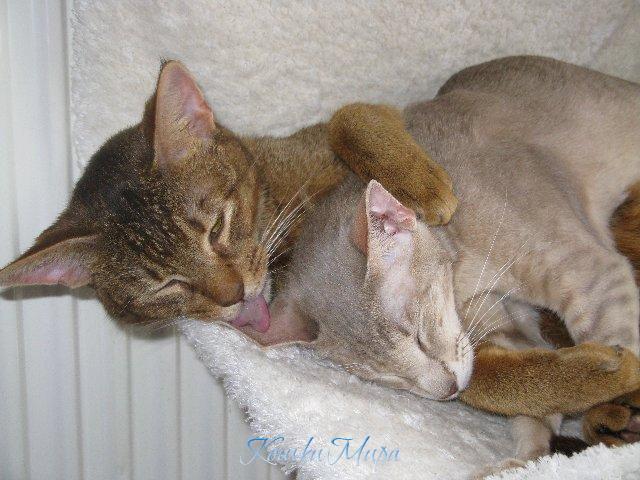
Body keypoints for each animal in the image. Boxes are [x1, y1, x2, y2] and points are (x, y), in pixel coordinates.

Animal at [238, 56, 640, 466]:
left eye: (417, 337)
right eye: (389, 379)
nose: (447, 391)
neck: (468, 275)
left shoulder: (589, 274)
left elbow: (616, 337)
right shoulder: (506, 325)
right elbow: (533, 396)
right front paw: (526, 459)